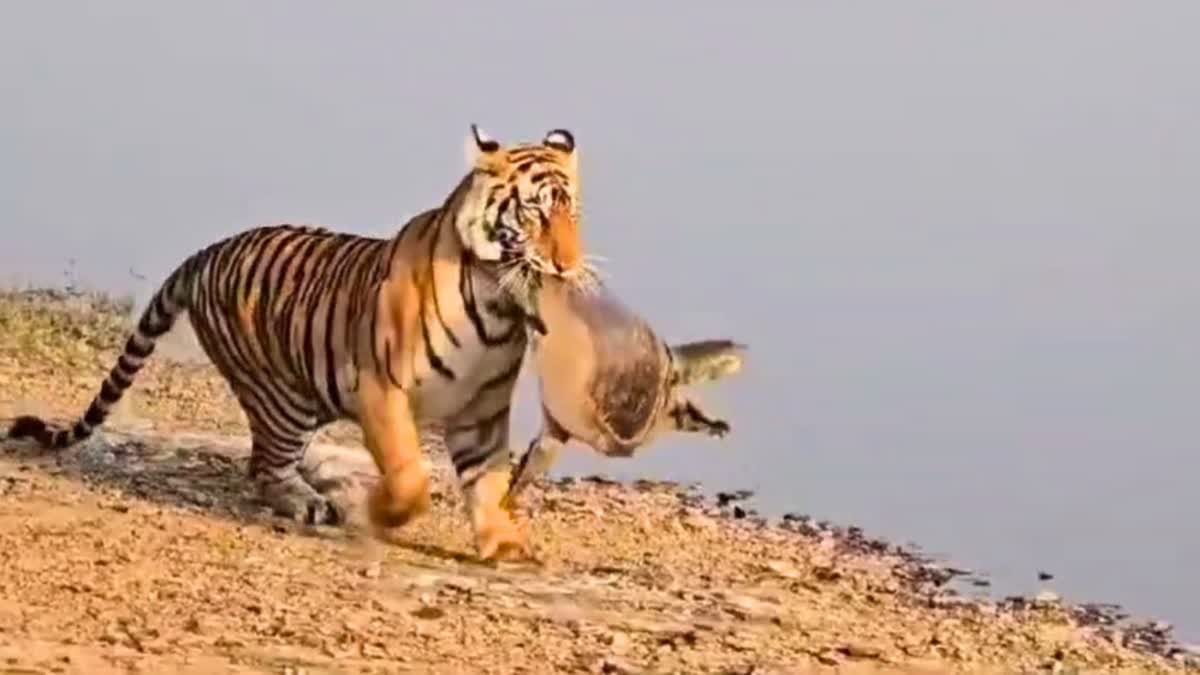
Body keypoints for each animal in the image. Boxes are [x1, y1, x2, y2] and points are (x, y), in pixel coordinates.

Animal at [7, 123, 588, 559]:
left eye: (572, 212)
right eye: (535, 211)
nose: (568, 265)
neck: (495, 301)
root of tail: (205, 251)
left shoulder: (481, 411)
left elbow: (489, 482)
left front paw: (505, 545)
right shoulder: (382, 387)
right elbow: (409, 474)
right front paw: (382, 514)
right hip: (282, 397)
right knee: (265, 466)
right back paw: (310, 501)